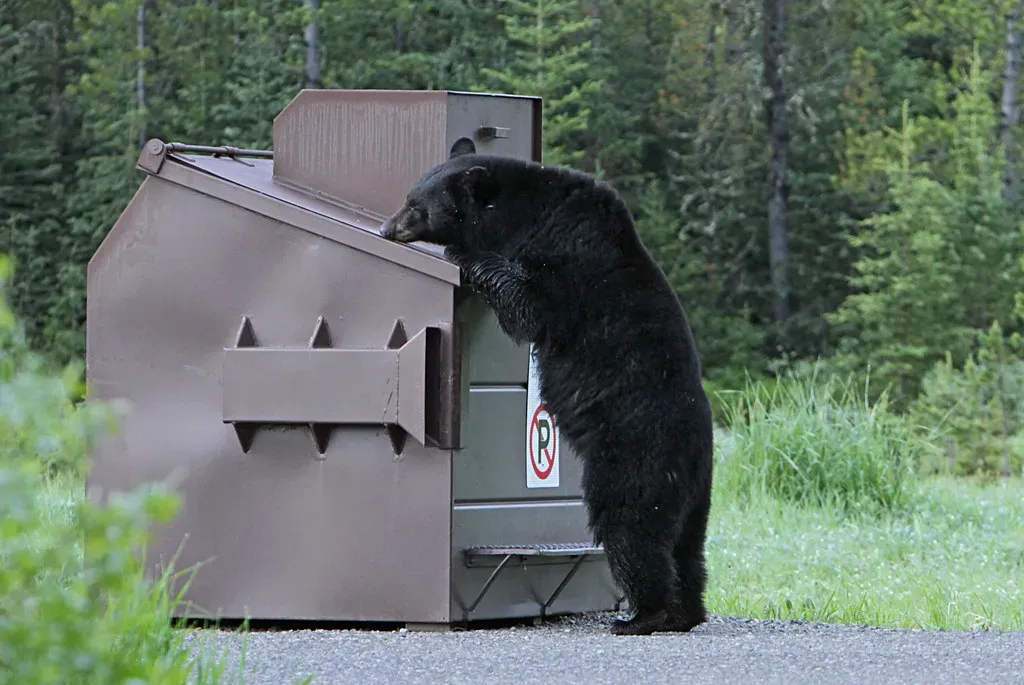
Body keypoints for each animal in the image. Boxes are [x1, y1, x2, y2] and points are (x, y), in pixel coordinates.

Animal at [380, 137, 715, 636]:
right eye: (408, 195)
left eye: (417, 205)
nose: (386, 228)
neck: (528, 213)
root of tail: (694, 454)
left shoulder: (568, 257)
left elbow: (531, 307)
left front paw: (466, 256)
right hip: (695, 495)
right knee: (687, 548)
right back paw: (687, 611)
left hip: (635, 456)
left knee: (631, 526)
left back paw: (644, 615)